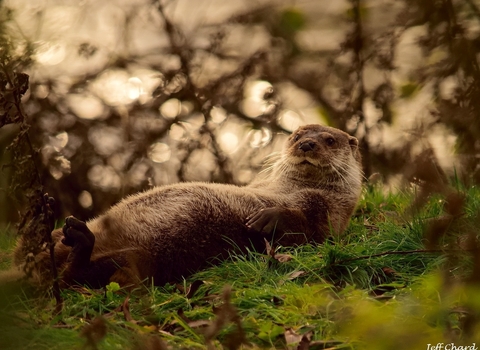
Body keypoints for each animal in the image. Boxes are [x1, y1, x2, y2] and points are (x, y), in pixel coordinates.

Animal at [13, 124, 362, 288]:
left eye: (329, 140)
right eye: (296, 135)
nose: (307, 144)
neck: (287, 187)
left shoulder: (328, 214)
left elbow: (306, 228)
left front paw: (267, 218)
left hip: (142, 260)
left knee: (77, 277)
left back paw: (80, 240)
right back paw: (49, 219)